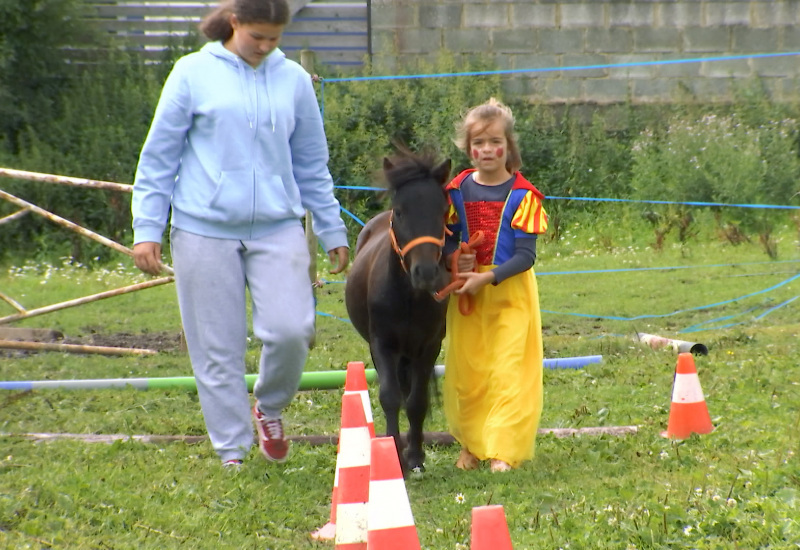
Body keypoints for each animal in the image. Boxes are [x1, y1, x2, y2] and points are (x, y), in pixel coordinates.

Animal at [346, 152, 454, 474]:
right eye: (401, 211)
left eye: (443, 210)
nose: (426, 272)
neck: (408, 297)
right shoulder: (382, 345)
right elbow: (390, 397)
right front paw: (394, 453)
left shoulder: (429, 347)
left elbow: (416, 402)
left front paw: (415, 456)